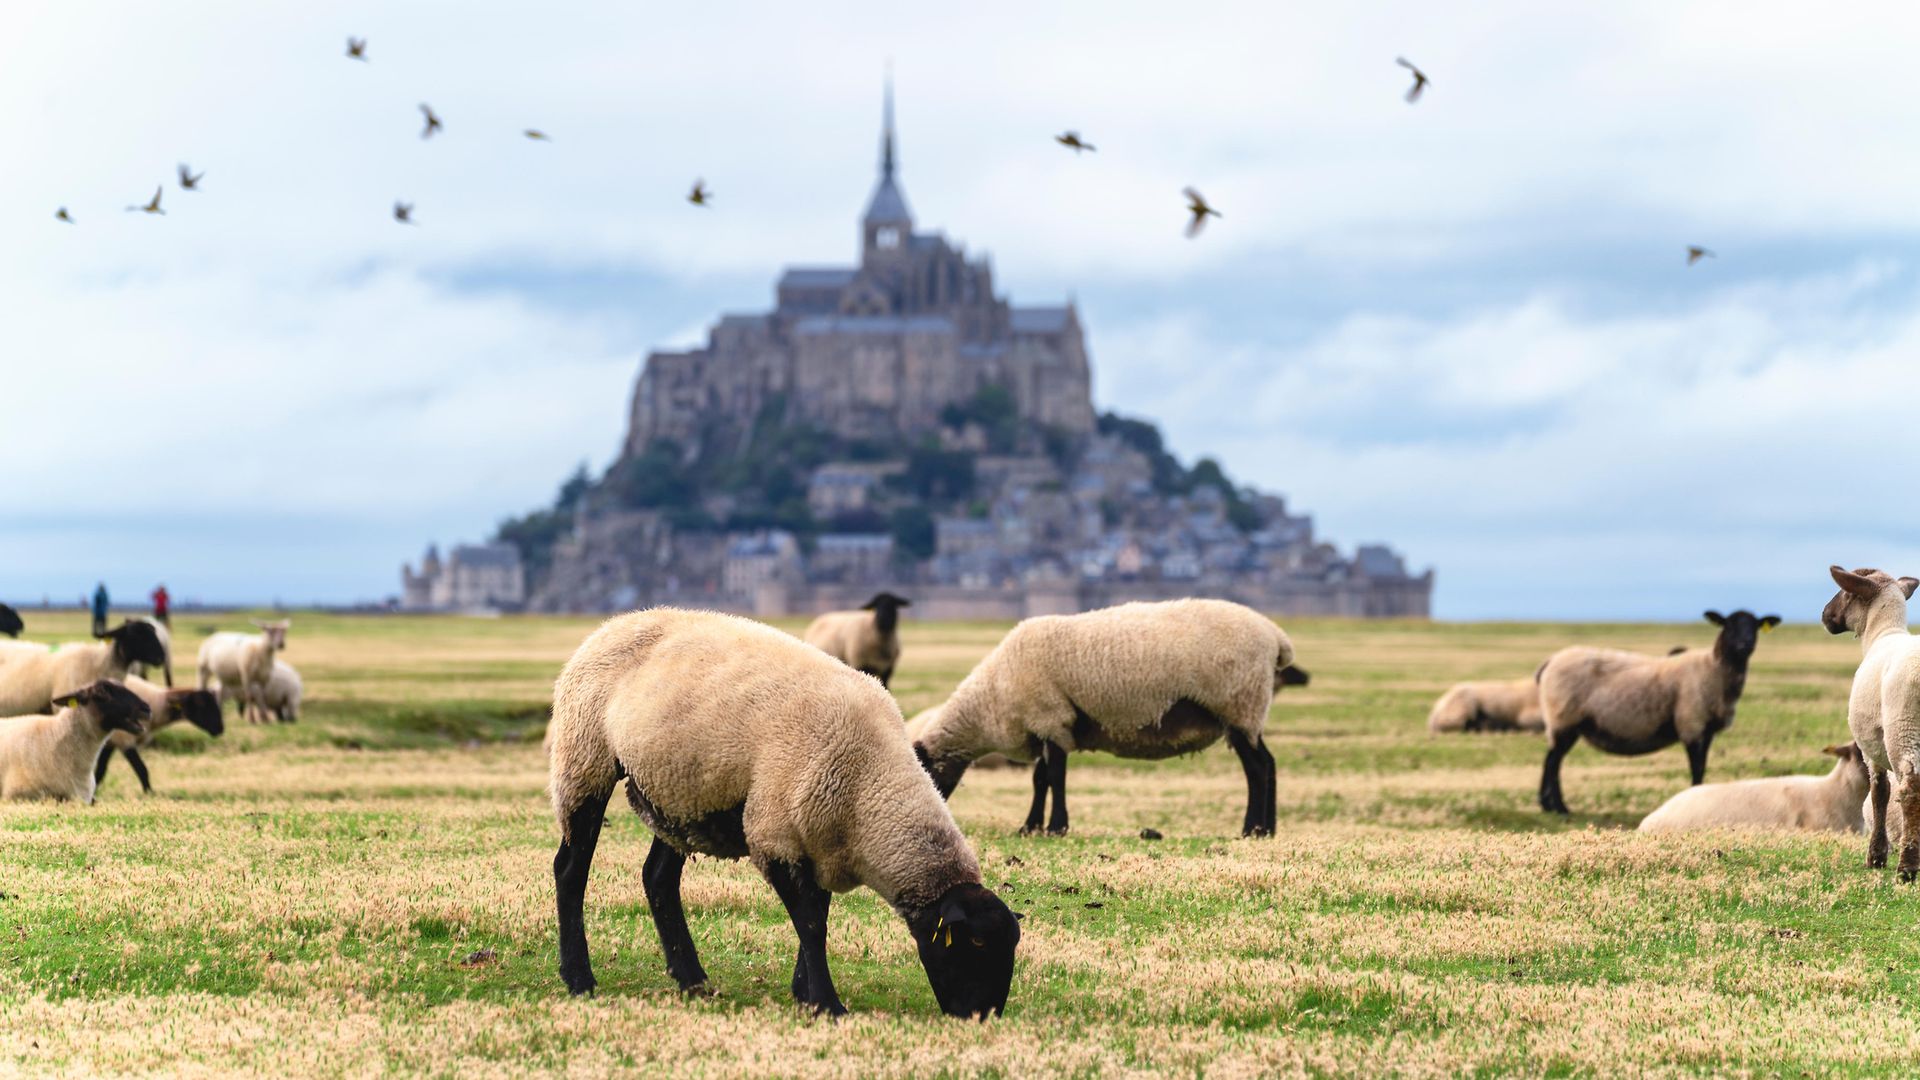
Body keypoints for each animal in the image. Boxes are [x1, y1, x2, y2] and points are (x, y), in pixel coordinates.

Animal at [95, 674, 224, 794]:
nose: (220, 729)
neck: (155, 704)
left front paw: (94, 793)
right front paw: (149, 794)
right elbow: (141, 769)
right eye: (202, 705)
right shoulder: (124, 739)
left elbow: (100, 771)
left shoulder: (110, 742)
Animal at [548, 607, 1021, 1017]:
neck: (871, 788)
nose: (984, 1017)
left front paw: (804, 992)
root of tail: (615, 623)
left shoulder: (821, 840)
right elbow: (811, 925)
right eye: (975, 944)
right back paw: (579, 979)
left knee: (658, 878)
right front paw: (827, 1004)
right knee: (570, 868)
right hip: (585, 759)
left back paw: (693, 980)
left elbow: (819, 915)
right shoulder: (774, 835)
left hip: (682, 795)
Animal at [904, 598, 1305, 838]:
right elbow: (1039, 779)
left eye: (926, 772)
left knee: (1256, 768)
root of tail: (1277, 638)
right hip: (1249, 712)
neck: (990, 700)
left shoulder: (1051, 718)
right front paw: (1030, 826)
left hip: (1238, 703)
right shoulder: (1047, 726)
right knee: (1268, 763)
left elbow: (1054, 778)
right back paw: (1268, 829)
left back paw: (1251, 828)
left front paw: (1056, 827)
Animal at [1536, 610, 1780, 815]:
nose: (1744, 644)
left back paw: (1547, 805)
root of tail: (1550, 661)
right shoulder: (1692, 723)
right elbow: (1697, 767)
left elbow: (1702, 765)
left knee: (1550, 759)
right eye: (1728, 624)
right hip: (1563, 719)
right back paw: (1559, 807)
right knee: (1553, 762)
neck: (1713, 669)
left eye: (1755, 626)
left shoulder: (1706, 729)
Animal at [1821, 565, 1920, 879]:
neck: (1881, 633)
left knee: (1910, 790)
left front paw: (1876, 856)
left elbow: (1879, 793)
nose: (1825, 615)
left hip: (1903, 729)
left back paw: (1907, 868)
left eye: (1845, 593)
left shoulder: (1870, 748)